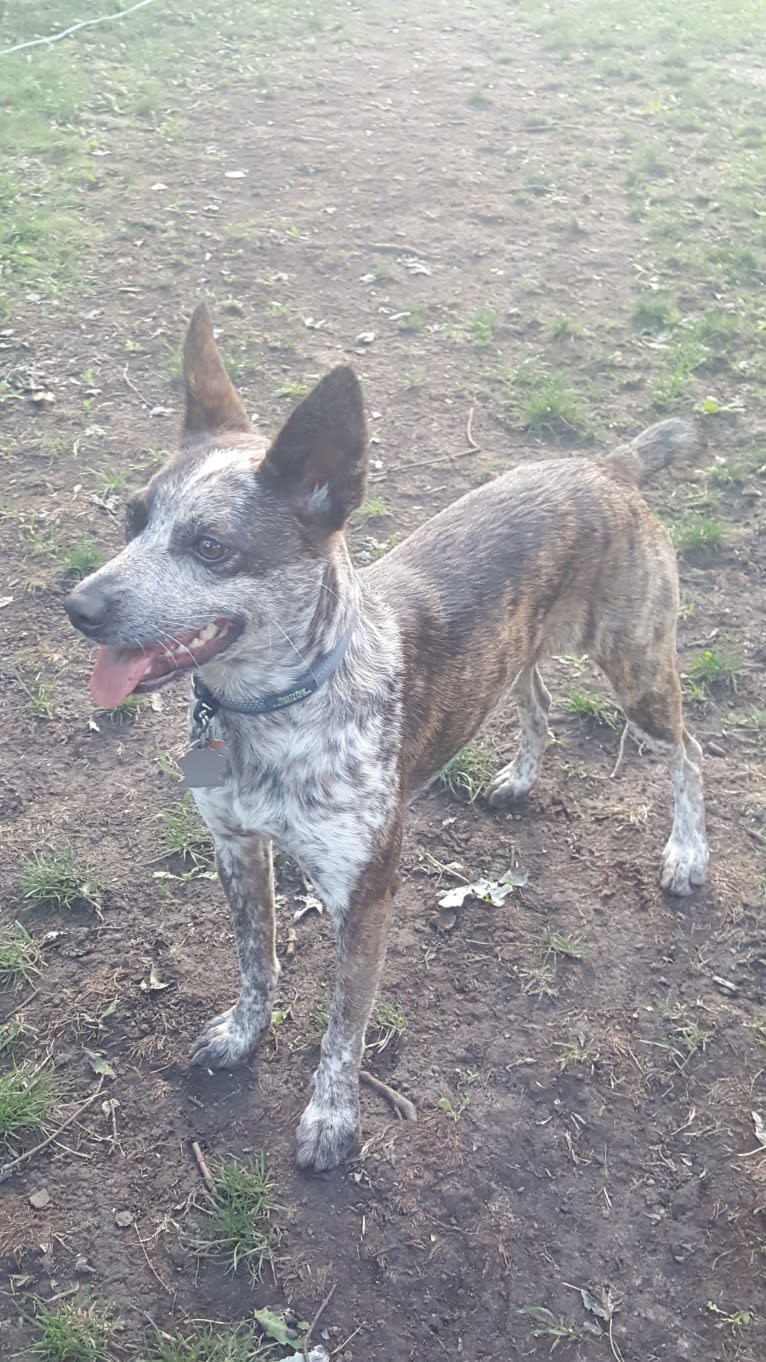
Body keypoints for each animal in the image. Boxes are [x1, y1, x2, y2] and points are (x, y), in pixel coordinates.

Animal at [62, 306, 708, 1171]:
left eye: (210, 547)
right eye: (132, 520)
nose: (78, 605)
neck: (269, 714)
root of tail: (610, 467)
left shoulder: (364, 894)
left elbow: (344, 1026)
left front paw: (331, 1118)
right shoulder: (236, 847)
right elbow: (256, 959)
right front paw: (243, 1035)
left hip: (636, 669)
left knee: (688, 754)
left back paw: (687, 854)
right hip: (527, 649)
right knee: (536, 698)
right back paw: (520, 778)